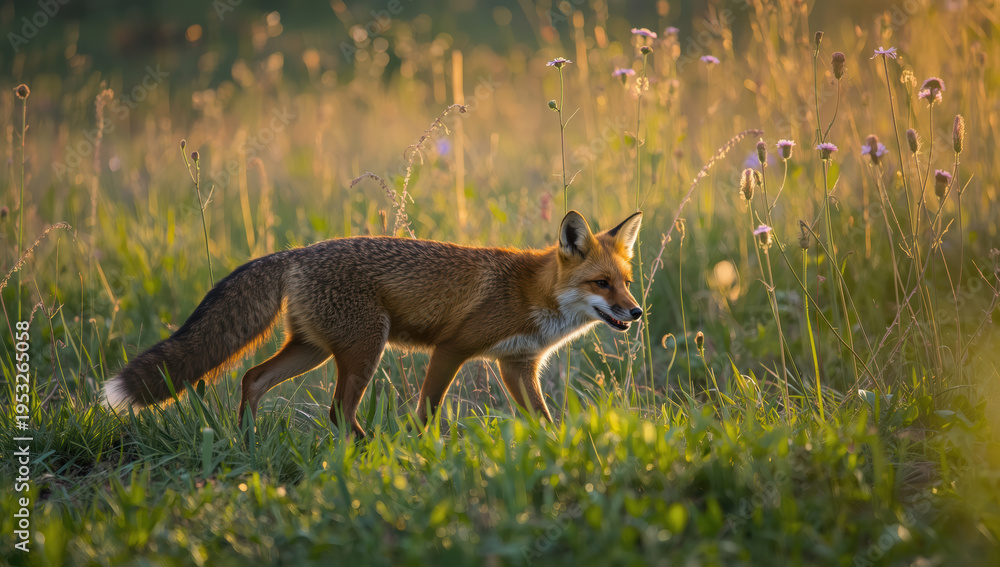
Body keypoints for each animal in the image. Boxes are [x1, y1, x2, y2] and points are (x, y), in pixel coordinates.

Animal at [101, 210, 644, 438]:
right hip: (364, 351)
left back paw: (247, 443)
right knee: (337, 412)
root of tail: (295, 253)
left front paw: (556, 450)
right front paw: (422, 453)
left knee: (252, 378)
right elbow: (427, 412)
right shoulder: (453, 348)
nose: (637, 312)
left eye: (626, 283)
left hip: (314, 349)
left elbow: (543, 420)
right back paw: (365, 449)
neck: (533, 294)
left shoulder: (517, 365)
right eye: (601, 284)